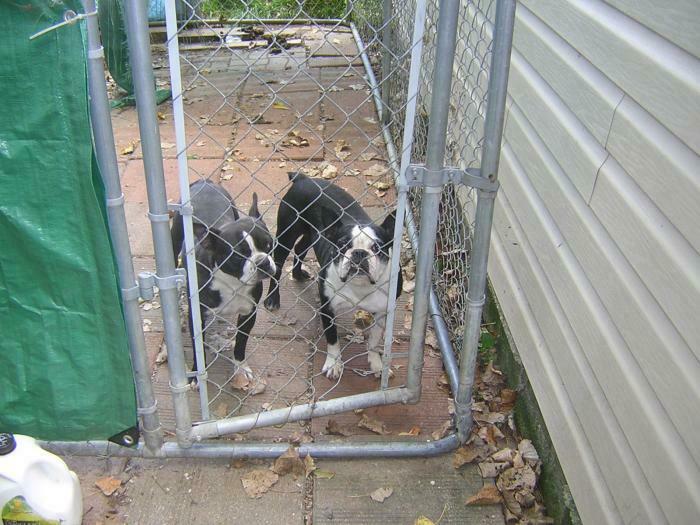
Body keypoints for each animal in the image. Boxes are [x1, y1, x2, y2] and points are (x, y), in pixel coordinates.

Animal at [171, 180, 274, 380]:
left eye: (269, 245)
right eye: (237, 256)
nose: (263, 262)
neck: (232, 283)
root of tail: (204, 181)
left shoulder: (248, 313)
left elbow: (241, 342)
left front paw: (240, 367)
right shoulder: (197, 318)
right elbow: (198, 349)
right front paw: (197, 373)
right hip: (174, 238)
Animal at [266, 174, 402, 378]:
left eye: (377, 248)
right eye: (342, 246)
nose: (359, 253)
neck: (359, 286)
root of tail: (304, 178)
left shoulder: (382, 311)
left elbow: (374, 339)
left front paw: (377, 364)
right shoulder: (327, 307)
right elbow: (332, 339)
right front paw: (333, 364)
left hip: (311, 234)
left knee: (300, 249)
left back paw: (298, 274)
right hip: (287, 232)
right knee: (279, 265)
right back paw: (272, 299)